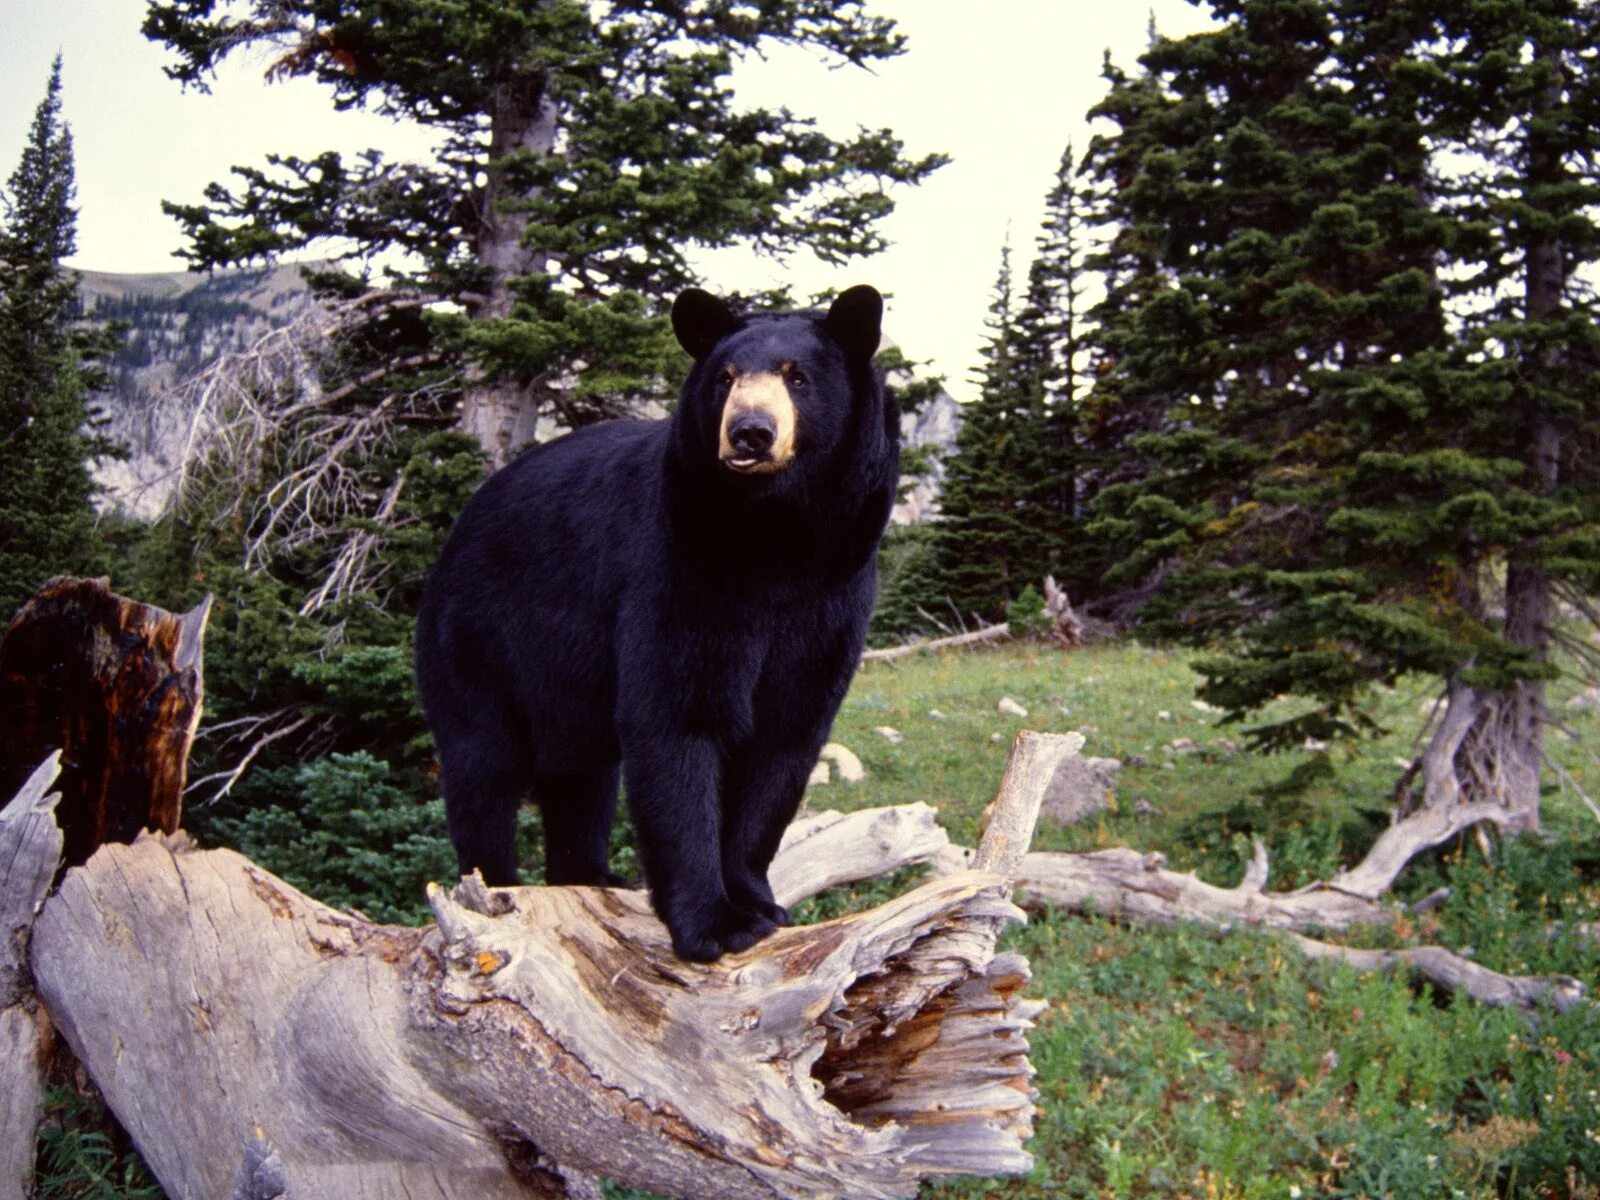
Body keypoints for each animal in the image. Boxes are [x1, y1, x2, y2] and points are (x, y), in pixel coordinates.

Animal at [416, 286, 902, 966]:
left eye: (797, 377)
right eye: (725, 377)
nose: (750, 432)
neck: (777, 543)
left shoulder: (834, 598)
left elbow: (784, 738)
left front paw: (758, 901)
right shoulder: (678, 569)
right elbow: (678, 721)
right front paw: (713, 923)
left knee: (582, 777)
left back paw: (590, 875)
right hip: (478, 644)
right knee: (484, 770)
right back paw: (500, 888)